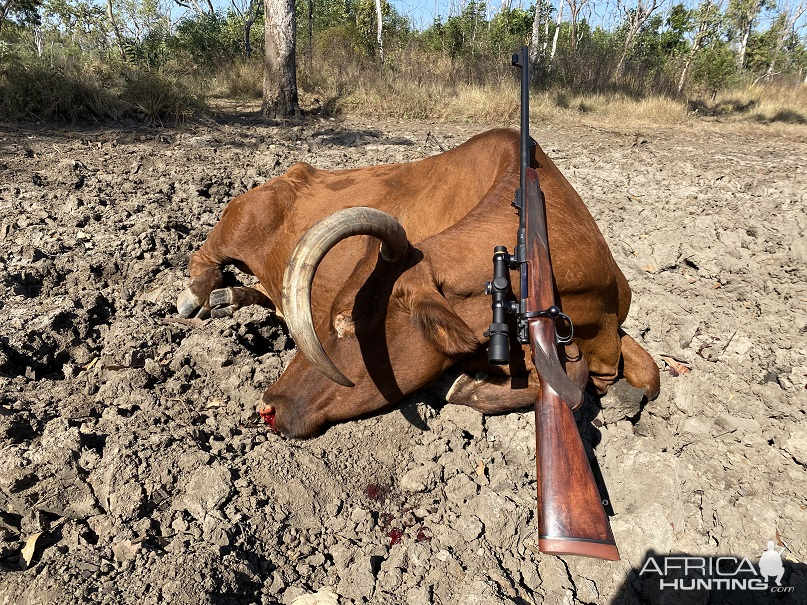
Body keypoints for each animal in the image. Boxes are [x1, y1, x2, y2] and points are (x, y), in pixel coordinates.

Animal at [175, 130, 656, 436]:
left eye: (348, 320)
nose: (268, 407)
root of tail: (294, 171)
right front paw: (461, 384)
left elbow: (644, 375)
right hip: (238, 222)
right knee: (203, 255)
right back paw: (200, 295)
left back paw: (231, 296)